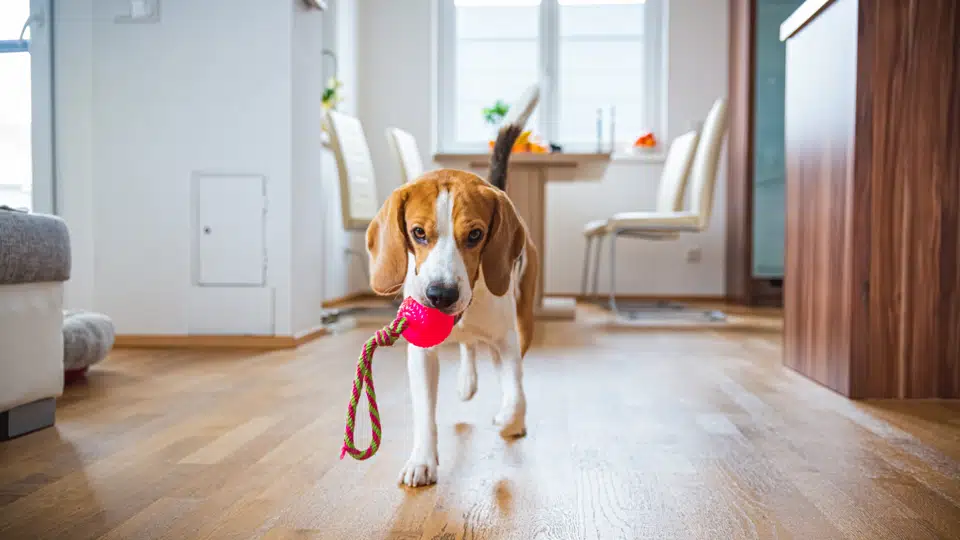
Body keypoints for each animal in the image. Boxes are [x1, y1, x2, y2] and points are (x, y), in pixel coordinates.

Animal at [364, 117, 536, 486]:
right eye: (418, 233)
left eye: (475, 235)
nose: (441, 295)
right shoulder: (421, 354)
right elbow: (424, 413)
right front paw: (422, 460)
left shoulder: (507, 341)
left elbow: (516, 393)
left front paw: (509, 419)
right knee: (468, 346)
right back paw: (467, 382)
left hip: (523, 322)